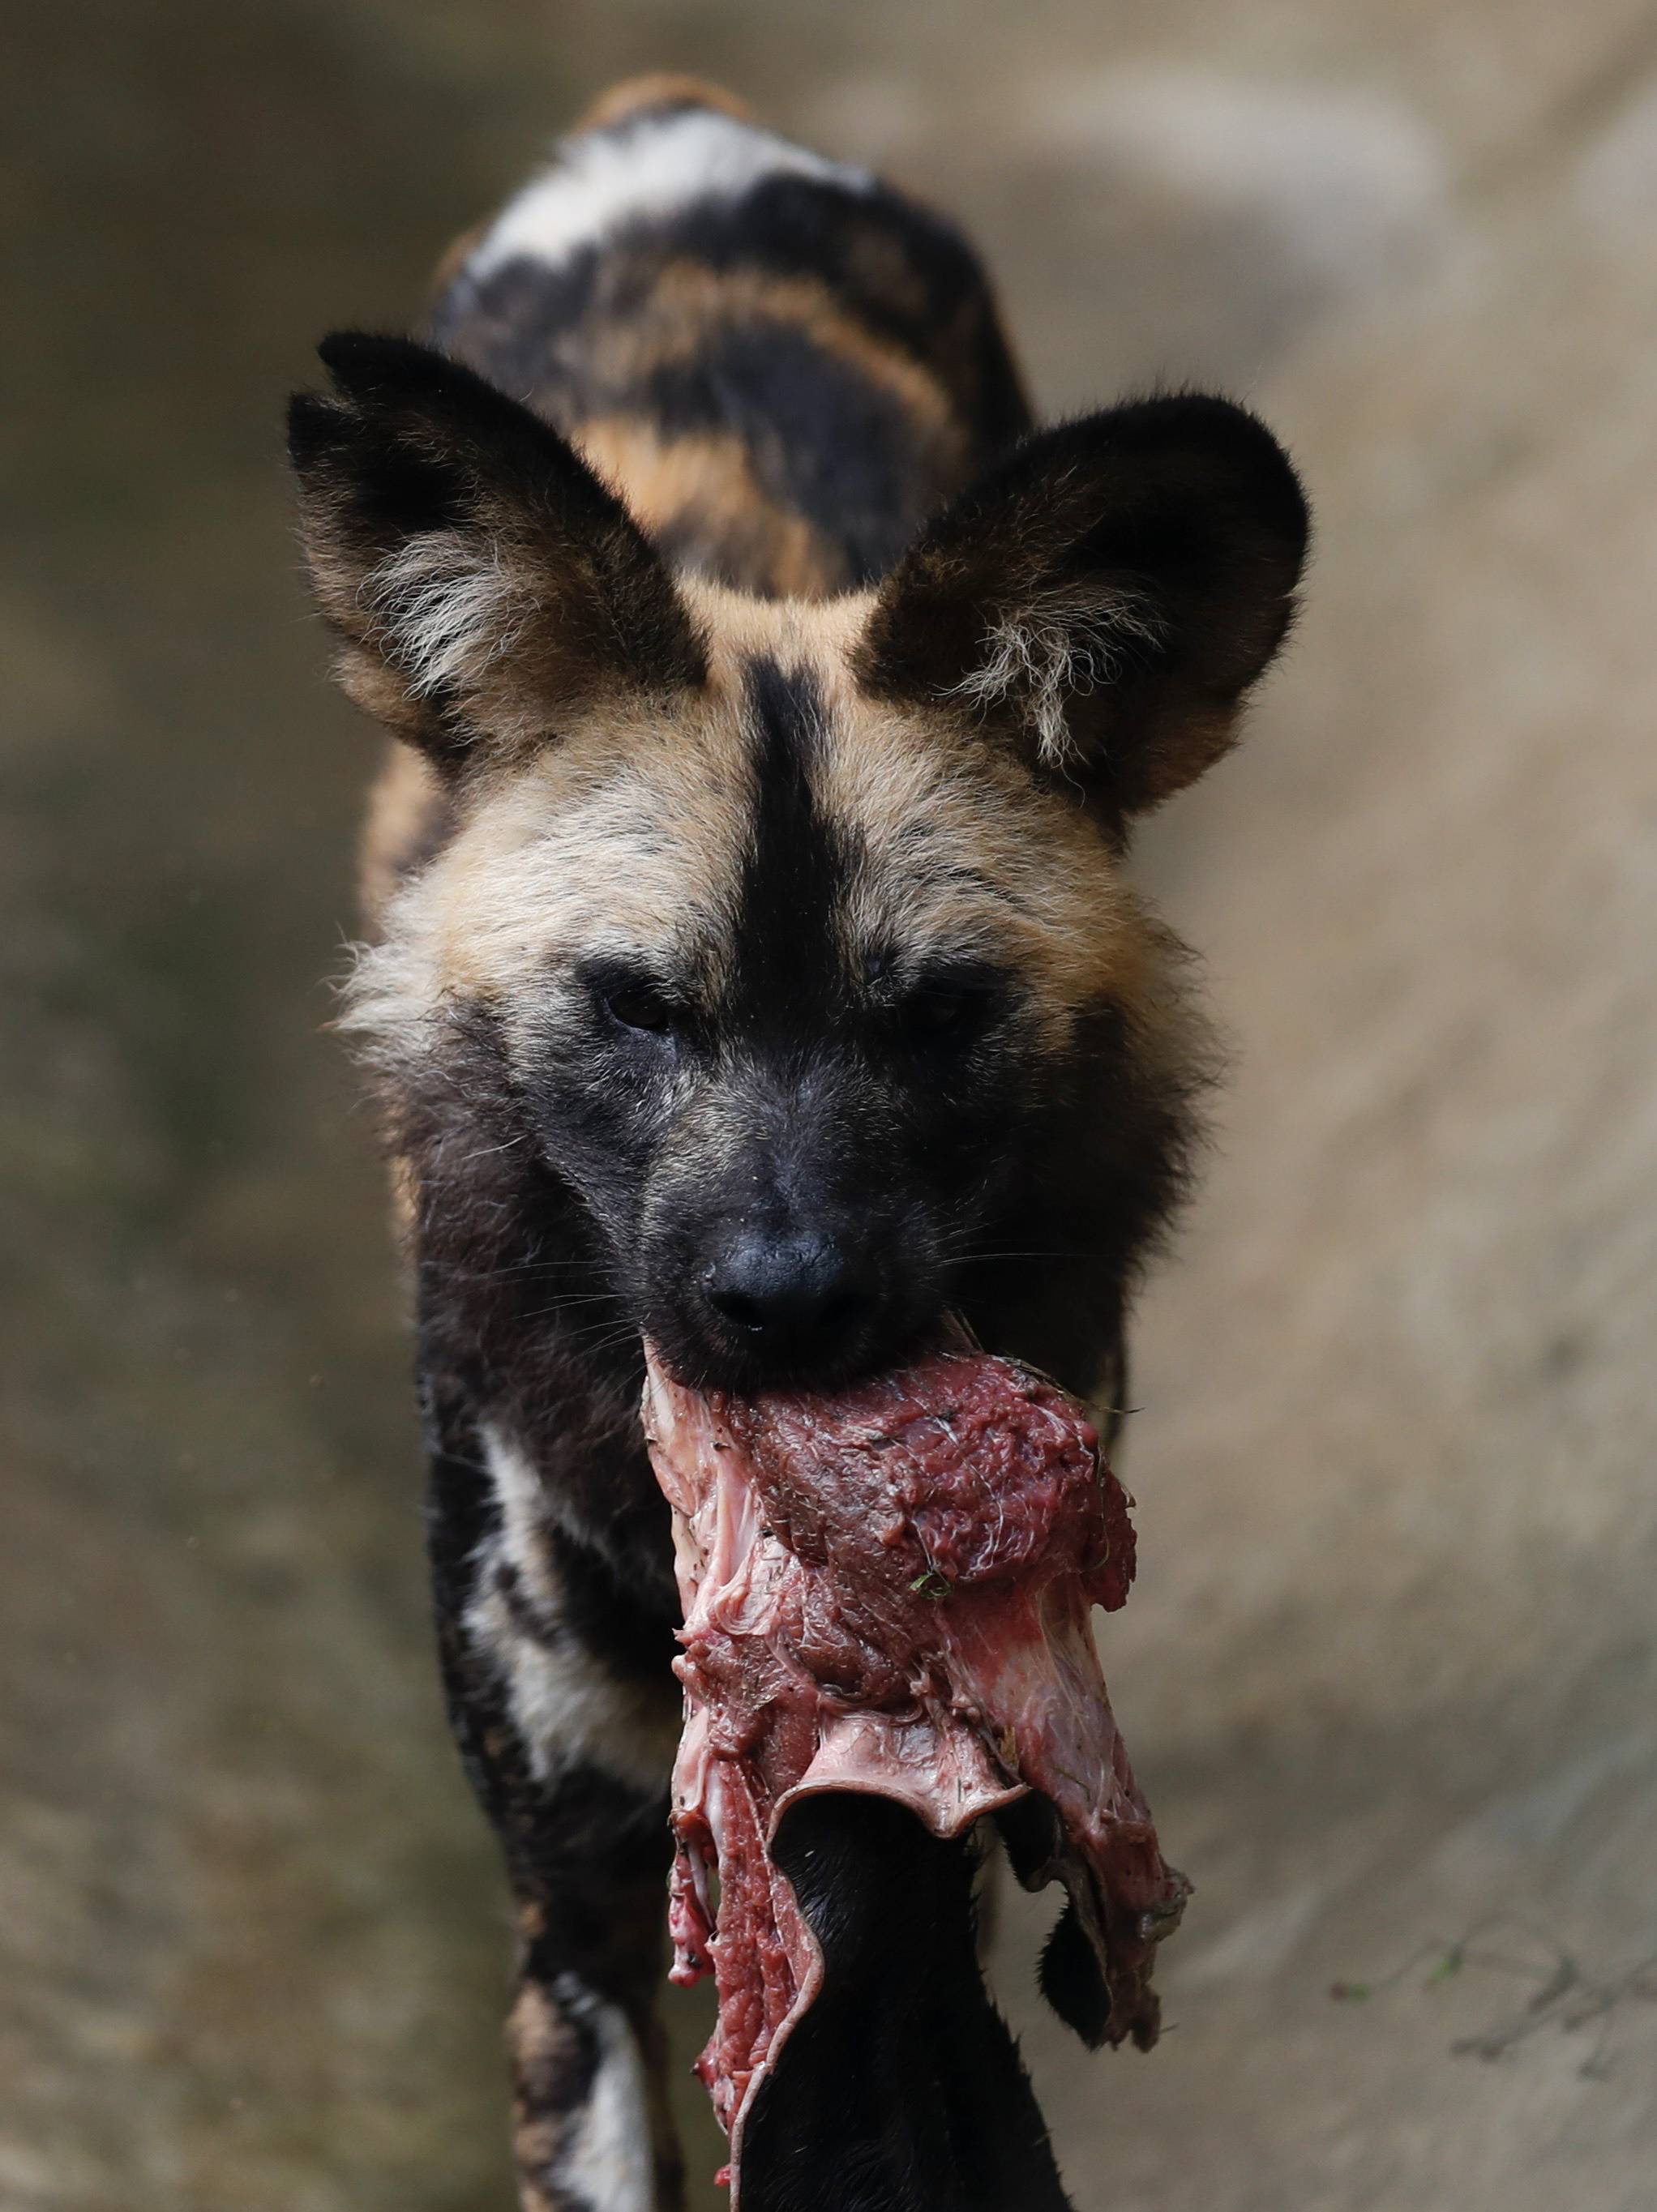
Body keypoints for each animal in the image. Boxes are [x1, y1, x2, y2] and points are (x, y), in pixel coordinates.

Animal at [287, 69, 1309, 2212]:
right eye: (635, 1006)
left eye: (934, 1012)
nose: (781, 1298)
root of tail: (662, 119)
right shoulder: (575, 1934)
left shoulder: (884, 1883)